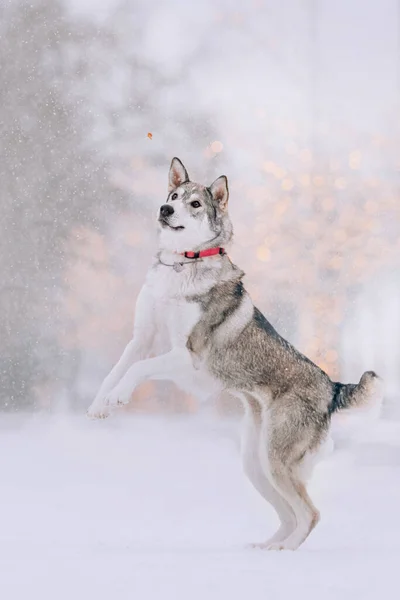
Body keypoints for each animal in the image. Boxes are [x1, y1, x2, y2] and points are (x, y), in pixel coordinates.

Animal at [88, 157, 384, 552]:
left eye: (195, 204)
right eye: (173, 196)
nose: (165, 209)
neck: (184, 262)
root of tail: (333, 388)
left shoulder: (186, 357)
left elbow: (138, 370)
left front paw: (119, 397)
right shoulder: (142, 337)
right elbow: (117, 369)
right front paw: (100, 404)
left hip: (275, 460)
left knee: (310, 514)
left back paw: (285, 553)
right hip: (256, 464)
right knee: (289, 515)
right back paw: (266, 549)